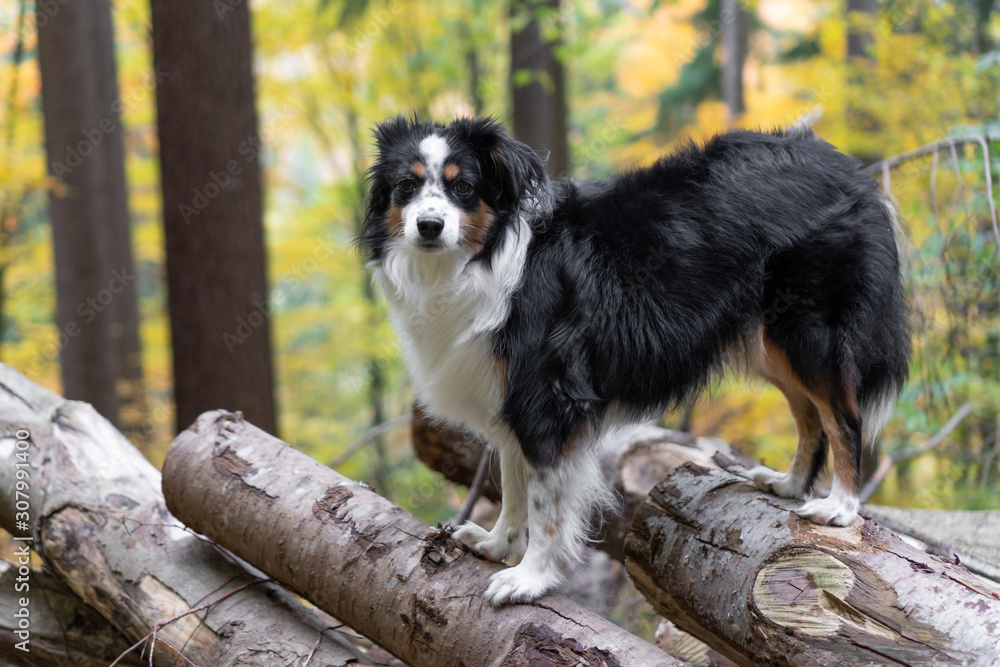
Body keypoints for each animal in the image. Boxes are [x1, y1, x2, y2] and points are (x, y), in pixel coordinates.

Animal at [358, 115, 908, 604]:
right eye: (406, 186)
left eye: (464, 187)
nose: (430, 226)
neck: (487, 256)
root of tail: (846, 167)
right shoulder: (510, 393)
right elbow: (512, 481)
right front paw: (499, 545)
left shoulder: (549, 396)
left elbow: (544, 500)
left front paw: (530, 577)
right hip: (770, 341)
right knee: (810, 414)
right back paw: (790, 484)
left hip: (807, 331)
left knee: (844, 418)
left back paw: (840, 507)